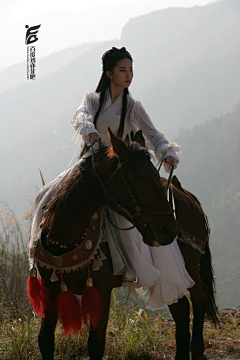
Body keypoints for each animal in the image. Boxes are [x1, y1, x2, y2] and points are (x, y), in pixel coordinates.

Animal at [28, 129, 218, 360]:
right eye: (139, 177)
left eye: (154, 175)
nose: (169, 229)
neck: (64, 239)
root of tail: (186, 194)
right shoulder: (50, 288)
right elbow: (45, 340)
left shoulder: (102, 290)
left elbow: (96, 345)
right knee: (180, 308)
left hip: (189, 265)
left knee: (199, 298)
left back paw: (197, 348)